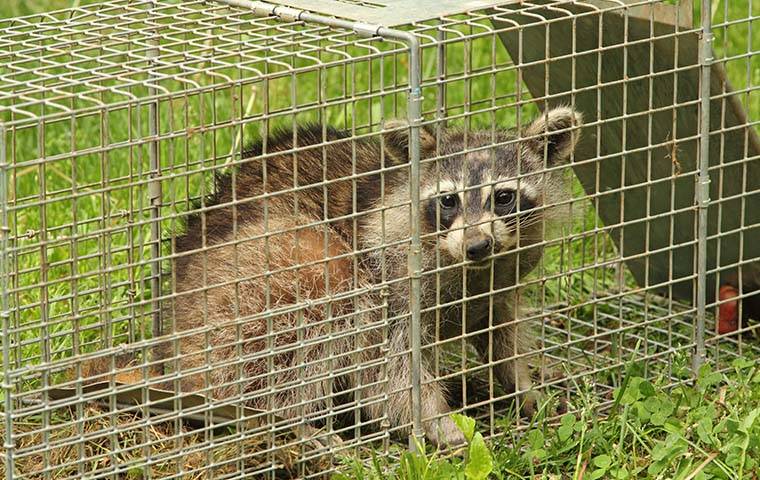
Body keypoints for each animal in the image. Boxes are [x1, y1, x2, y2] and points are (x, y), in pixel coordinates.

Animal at [157, 105, 580, 446]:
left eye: (504, 197)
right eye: (448, 201)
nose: (477, 245)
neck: (467, 267)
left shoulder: (502, 278)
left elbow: (501, 333)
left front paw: (523, 386)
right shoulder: (391, 281)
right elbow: (392, 371)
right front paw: (435, 421)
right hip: (249, 283)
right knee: (316, 299)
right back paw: (287, 421)